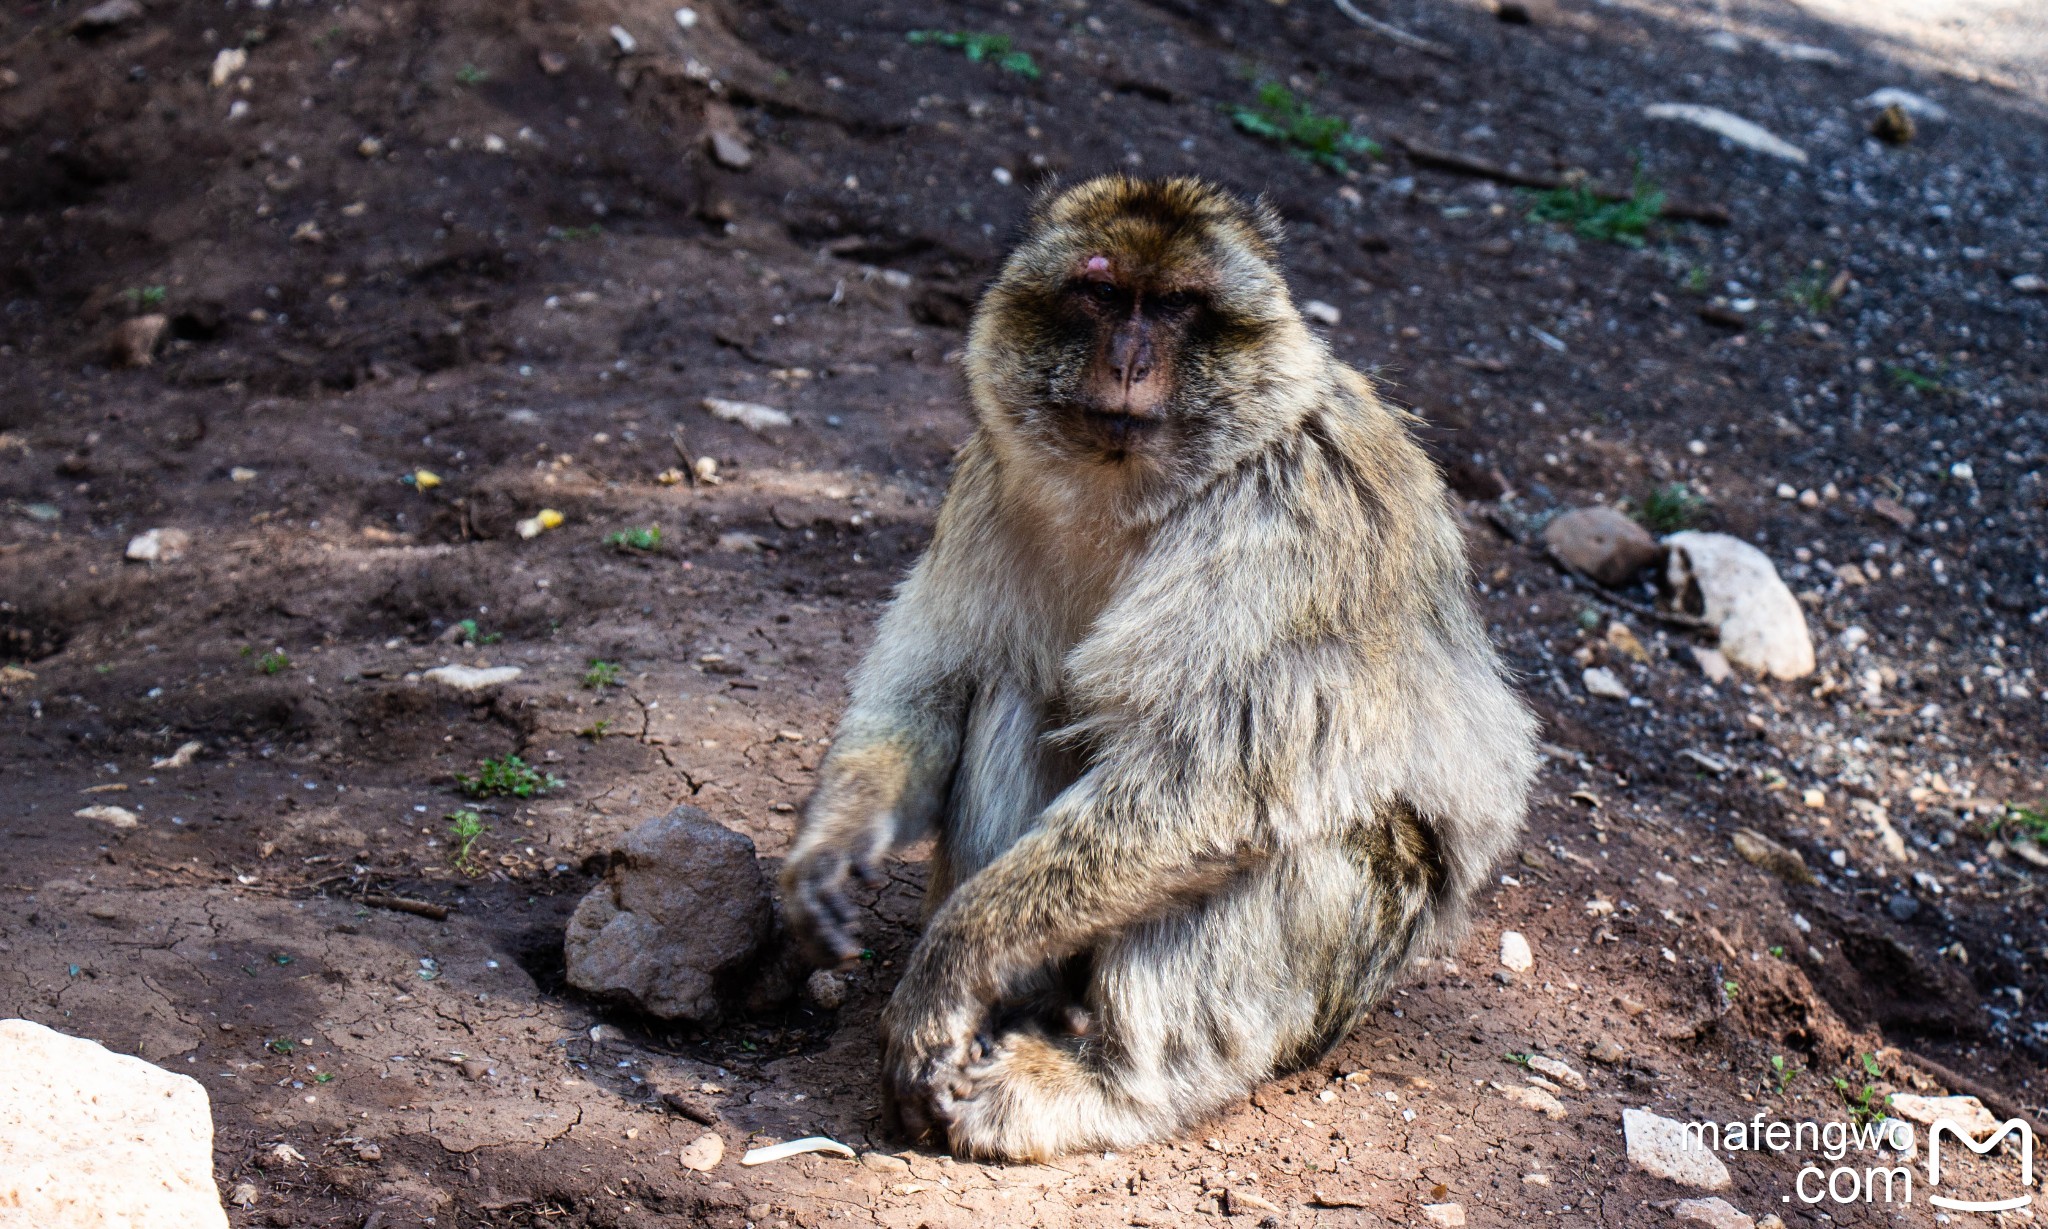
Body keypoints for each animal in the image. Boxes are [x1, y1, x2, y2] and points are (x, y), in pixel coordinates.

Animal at [782, 173, 1540, 1163]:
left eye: (1177, 304)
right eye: (1102, 293)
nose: (1130, 361)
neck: (1129, 483)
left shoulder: (1287, 521)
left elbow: (1211, 781)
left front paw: (952, 961)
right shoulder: (984, 477)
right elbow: (934, 686)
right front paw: (833, 839)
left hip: (1345, 971)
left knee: (1292, 840)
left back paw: (1102, 1081)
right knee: (1018, 690)